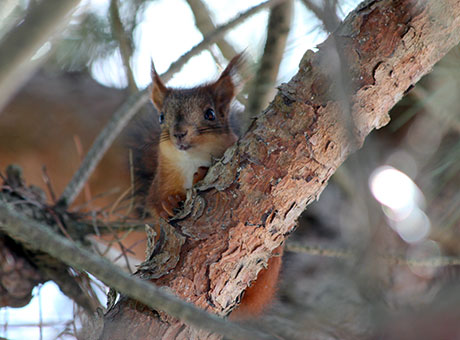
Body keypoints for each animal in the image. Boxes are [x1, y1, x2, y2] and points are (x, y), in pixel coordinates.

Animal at [133, 53, 282, 318]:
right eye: (161, 117)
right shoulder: (161, 180)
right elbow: (155, 202)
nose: (179, 133)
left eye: (210, 114)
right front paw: (169, 203)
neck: (190, 159)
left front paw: (201, 173)